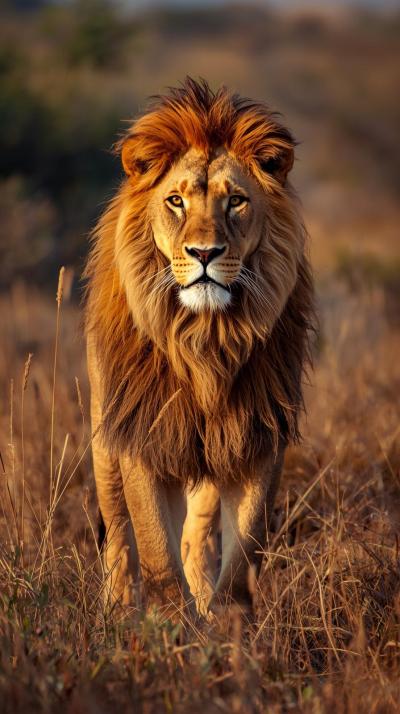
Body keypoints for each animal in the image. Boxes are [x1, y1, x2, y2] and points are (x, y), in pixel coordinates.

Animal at [84, 78, 314, 620]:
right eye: (175, 201)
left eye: (236, 202)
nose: (204, 253)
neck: (204, 339)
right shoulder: (142, 435)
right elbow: (154, 550)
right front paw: (168, 627)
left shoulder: (256, 439)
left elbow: (245, 548)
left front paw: (228, 626)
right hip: (105, 438)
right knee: (118, 535)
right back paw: (117, 608)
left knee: (198, 534)